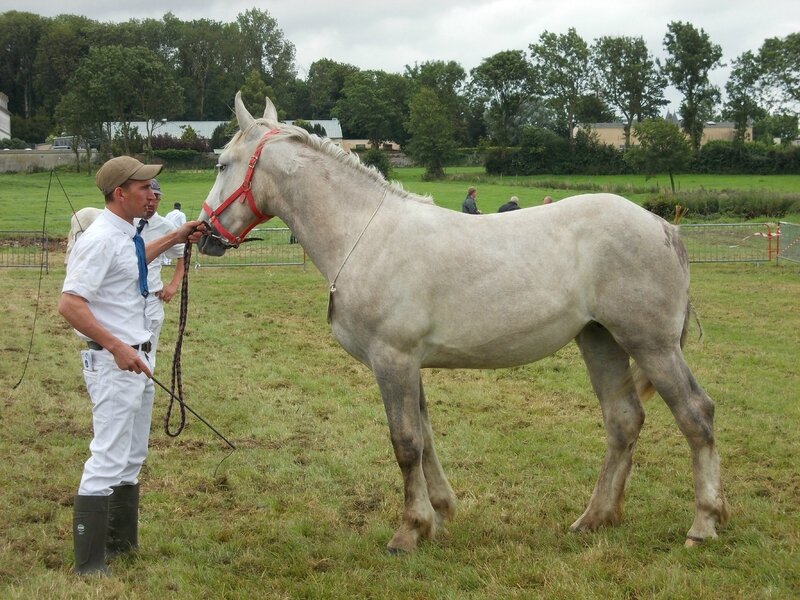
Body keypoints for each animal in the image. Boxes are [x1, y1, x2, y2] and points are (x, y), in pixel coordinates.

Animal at [197, 94, 728, 552]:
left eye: (222, 164)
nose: (204, 234)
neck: (364, 234)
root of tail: (663, 225)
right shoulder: (408, 364)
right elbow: (425, 438)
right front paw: (439, 513)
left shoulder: (393, 359)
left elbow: (405, 443)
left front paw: (409, 530)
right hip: (600, 340)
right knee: (623, 420)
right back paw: (595, 518)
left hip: (652, 345)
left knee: (696, 415)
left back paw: (703, 524)